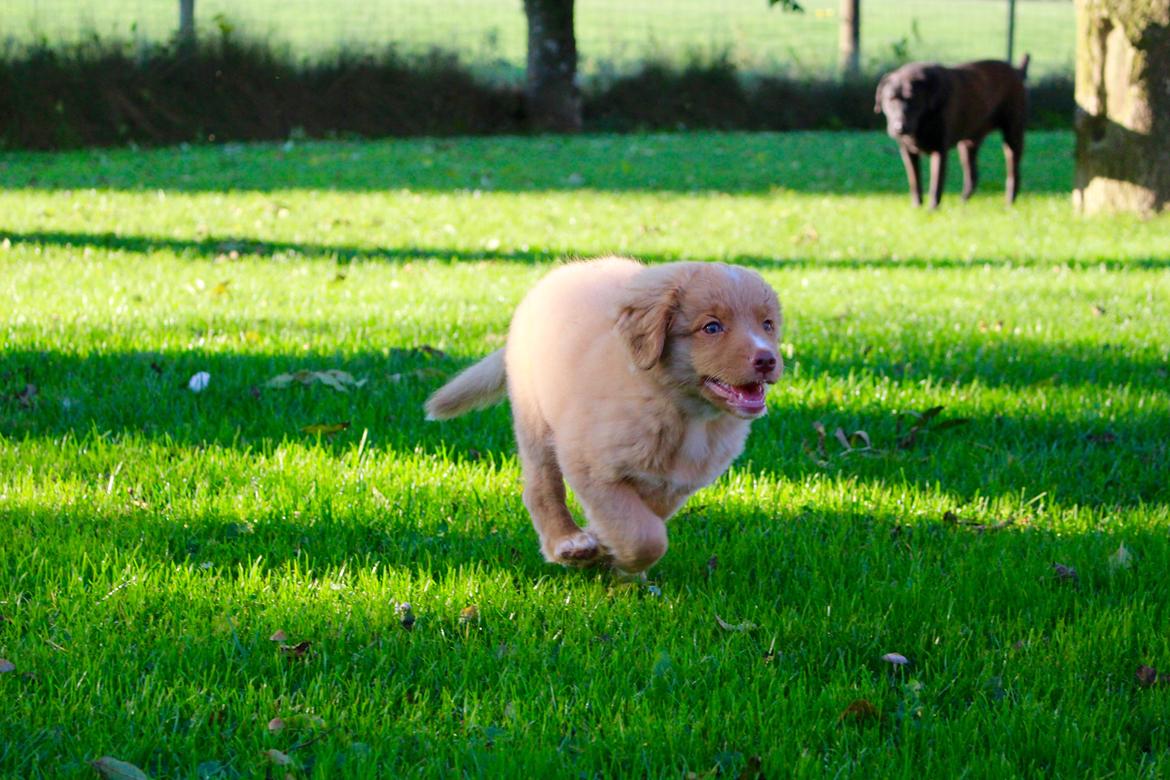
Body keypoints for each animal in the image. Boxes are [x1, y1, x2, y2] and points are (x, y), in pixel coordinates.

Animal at [425, 257, 781, 573]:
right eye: (712, 327)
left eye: (767, 324)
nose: (767, 360)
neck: (682, 412)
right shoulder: (590, 465)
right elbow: (644, 535)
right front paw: (614, 557)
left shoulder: (675, 485)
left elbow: (642, 519)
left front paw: (612, 554)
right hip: (534, 417)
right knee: (542, 486)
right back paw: (565, 541)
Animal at [875, 54, 1029, 210]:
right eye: (890, 99)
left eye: (913, 100)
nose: (899, 128)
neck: (922, 122)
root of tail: (1017, 71)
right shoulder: (907, 151)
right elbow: (914, 181)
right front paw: (917, 206)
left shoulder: (939, 150)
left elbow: (936, 183)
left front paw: (932, 209)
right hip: (967, 144)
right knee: (972, 176)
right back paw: (962, 204)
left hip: (1013, 135)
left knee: (1013, 172)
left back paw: (1009, 203)